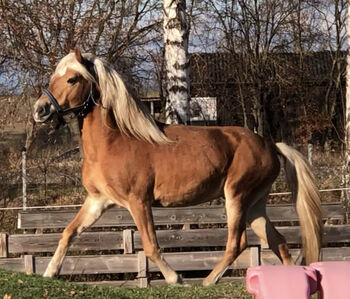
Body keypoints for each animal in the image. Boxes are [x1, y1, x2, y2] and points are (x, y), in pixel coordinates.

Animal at [33, 48, 322, 288]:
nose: (40, 110)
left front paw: (176, 278)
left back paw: (208, 281)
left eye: (72, 79)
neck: (115, 141)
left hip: (237, 197)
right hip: (255, 205)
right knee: (279, 241)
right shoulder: (98, 201)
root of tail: (270, 145)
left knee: (237, 244)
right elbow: (68, 232)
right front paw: (48, 273)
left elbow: (150, 246)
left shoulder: (138, 201)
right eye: (54, 76)